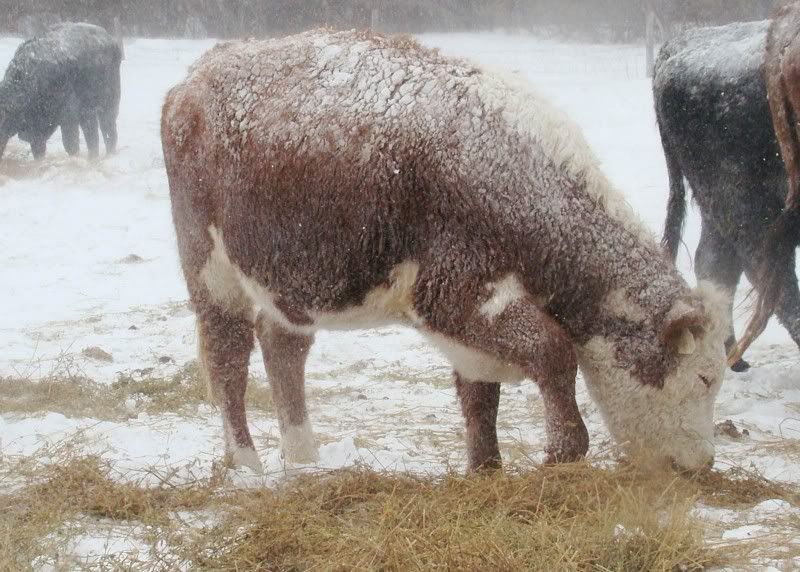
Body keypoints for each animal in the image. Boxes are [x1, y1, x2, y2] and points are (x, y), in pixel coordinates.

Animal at [0, 22, 122, 162]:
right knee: (93, 136)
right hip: (88, 113)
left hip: (108, 105)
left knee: (108, 132)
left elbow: (70, 144)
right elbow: (38, 149)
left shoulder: (68, 117)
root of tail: (110, 40)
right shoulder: (38, 130)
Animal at [162, 30, 727, 475]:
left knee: (283, 346)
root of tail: (195, 78)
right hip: (210, 269)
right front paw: (562, 452)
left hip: (292, 281)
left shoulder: (469, 327)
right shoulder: (454, 293)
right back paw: (247, 464)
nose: (703, 463)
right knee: (229, 355)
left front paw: (485, 468)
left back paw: (303, 457)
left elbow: (480, 396)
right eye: (703, 378)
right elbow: (553, 351)